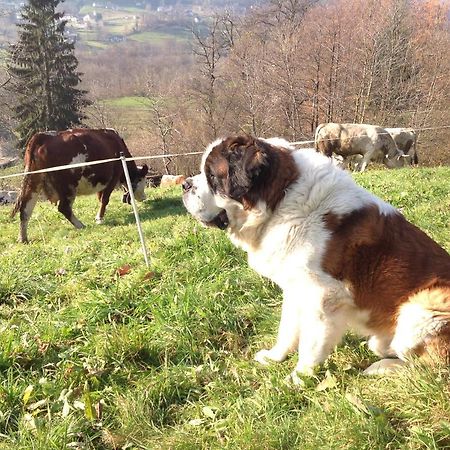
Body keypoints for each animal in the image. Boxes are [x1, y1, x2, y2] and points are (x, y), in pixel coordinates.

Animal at [11, 127, 149, 243]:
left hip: (33, 182)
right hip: (68, 185)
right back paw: (81, 225)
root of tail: (43, 136)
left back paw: (23, 238)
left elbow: (100, 197)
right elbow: (104, 199)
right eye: (142, 180)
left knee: (25, 209)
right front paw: (99, 218)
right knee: (64, 208)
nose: (144, 197)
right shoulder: (113, 177)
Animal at [181, 135, 448, 382]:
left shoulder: (324, 296)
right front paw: (274, 357)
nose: (184, 184)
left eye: (212, 176)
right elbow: (287, 329)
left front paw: (298, 379)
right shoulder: (295, 289)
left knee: (430, 370)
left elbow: (310, 344)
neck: (281, 199)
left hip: (419, 313)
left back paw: (382, 368)